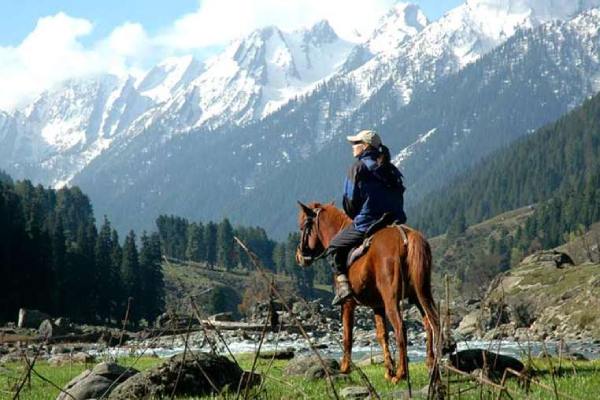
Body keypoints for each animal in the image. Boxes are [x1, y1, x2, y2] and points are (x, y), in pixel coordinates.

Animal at [296, 202, 440, 382]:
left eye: (303, 227)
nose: (299, 256)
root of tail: (405, 236)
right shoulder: (377, 306)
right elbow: (382, 335)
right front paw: (388, 371)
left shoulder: (347, 303)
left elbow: (347, 336)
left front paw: (344, 368)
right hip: (420, 295)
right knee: (430, 324)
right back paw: (431, 368)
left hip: (392, 300)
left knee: (401, 329)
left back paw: (402, 374)